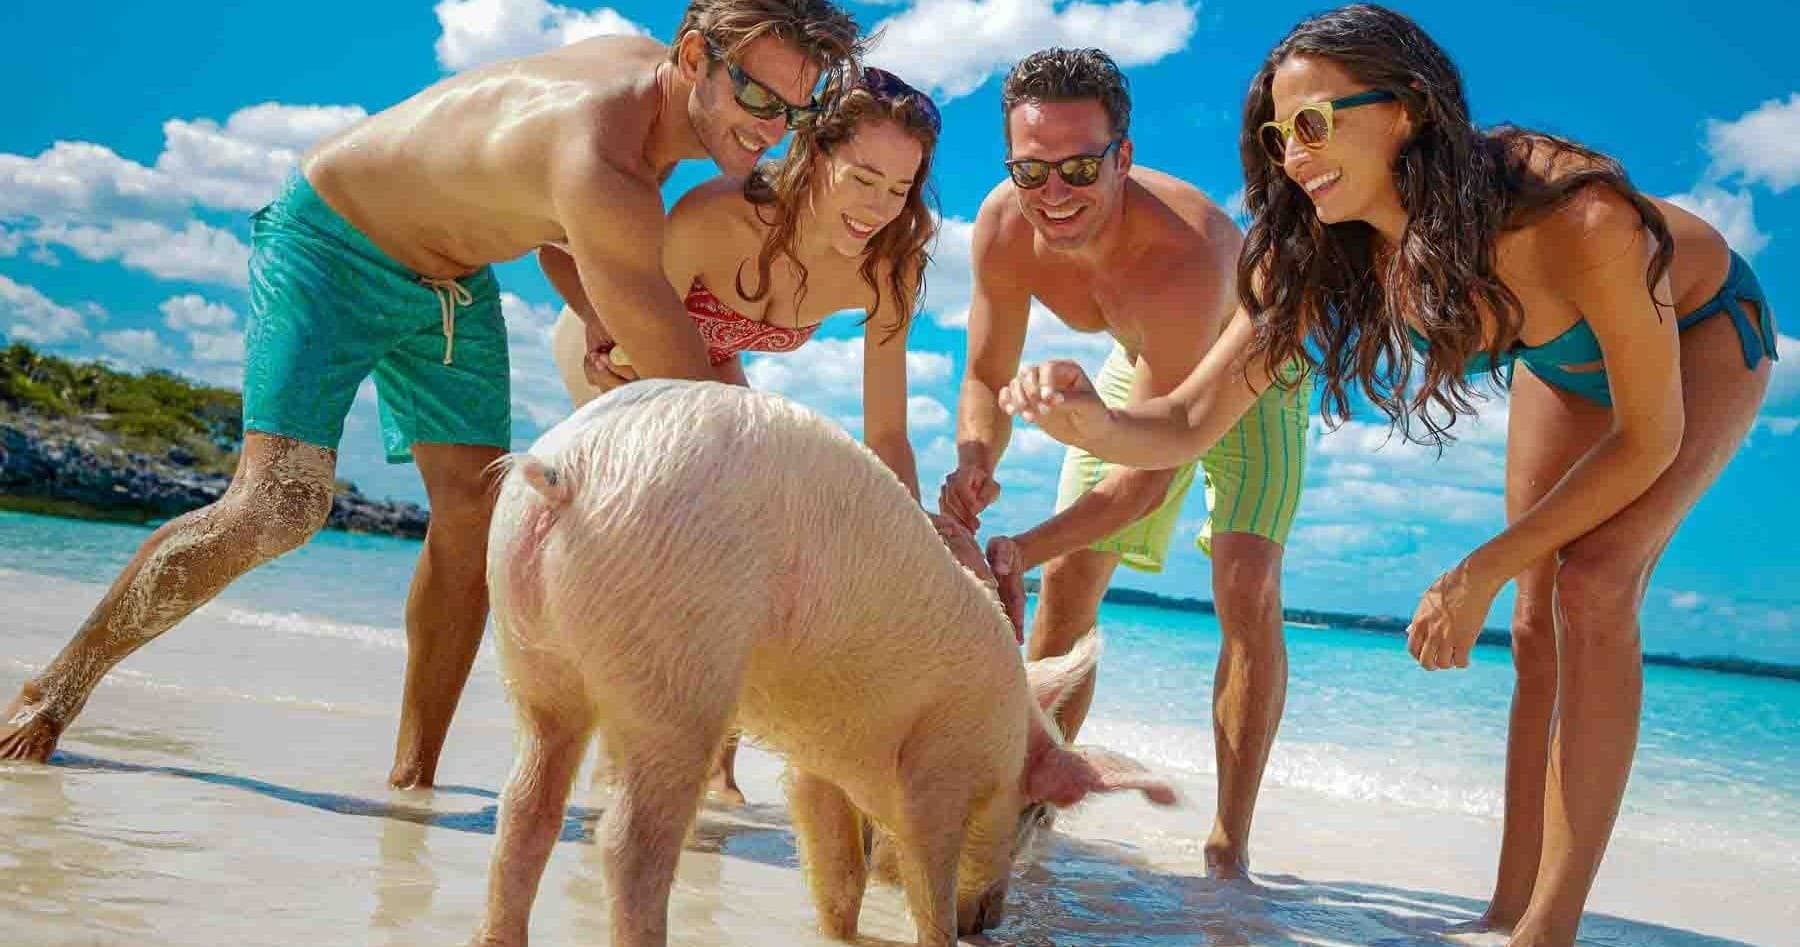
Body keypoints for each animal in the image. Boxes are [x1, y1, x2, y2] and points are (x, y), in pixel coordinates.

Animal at [470, 379, 1177, 947]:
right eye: (1036, 815)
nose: (995, 922)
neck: (1004, 736)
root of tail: (570, 467)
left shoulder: (819, 758)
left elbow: (838, 863)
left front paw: (842, 934)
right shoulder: (940, 764)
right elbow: (929, 876)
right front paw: (943, 934)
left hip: (530, 653)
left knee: (526, 805)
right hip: (677, 662)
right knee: (628, 844)